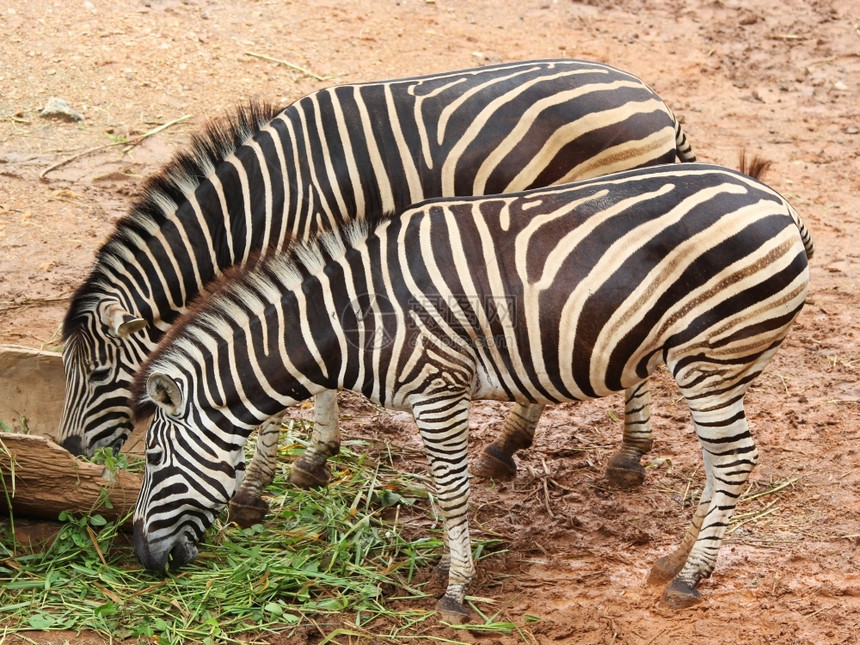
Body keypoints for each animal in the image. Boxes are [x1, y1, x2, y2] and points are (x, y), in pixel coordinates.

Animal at [60, 56, 696, 520]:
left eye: (98, 373)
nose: (68, 451)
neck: (258, 205)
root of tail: (654, 99)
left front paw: (260, 484)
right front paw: (315, 459)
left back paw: (627, 456)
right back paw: (507, 446)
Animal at [129, 160, 812, 620]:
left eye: (154, 459)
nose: (141, 557)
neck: (355, 319)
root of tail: (779, 204)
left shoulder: (438, 389)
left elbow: (454, 495)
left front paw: (456, 591)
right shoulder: (429, 399)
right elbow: (439, 491)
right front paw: (446, 565)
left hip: (710, 358)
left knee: (735, 461)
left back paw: (688, 579)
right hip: (715, 364)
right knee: (717, 463)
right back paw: (675, 559)